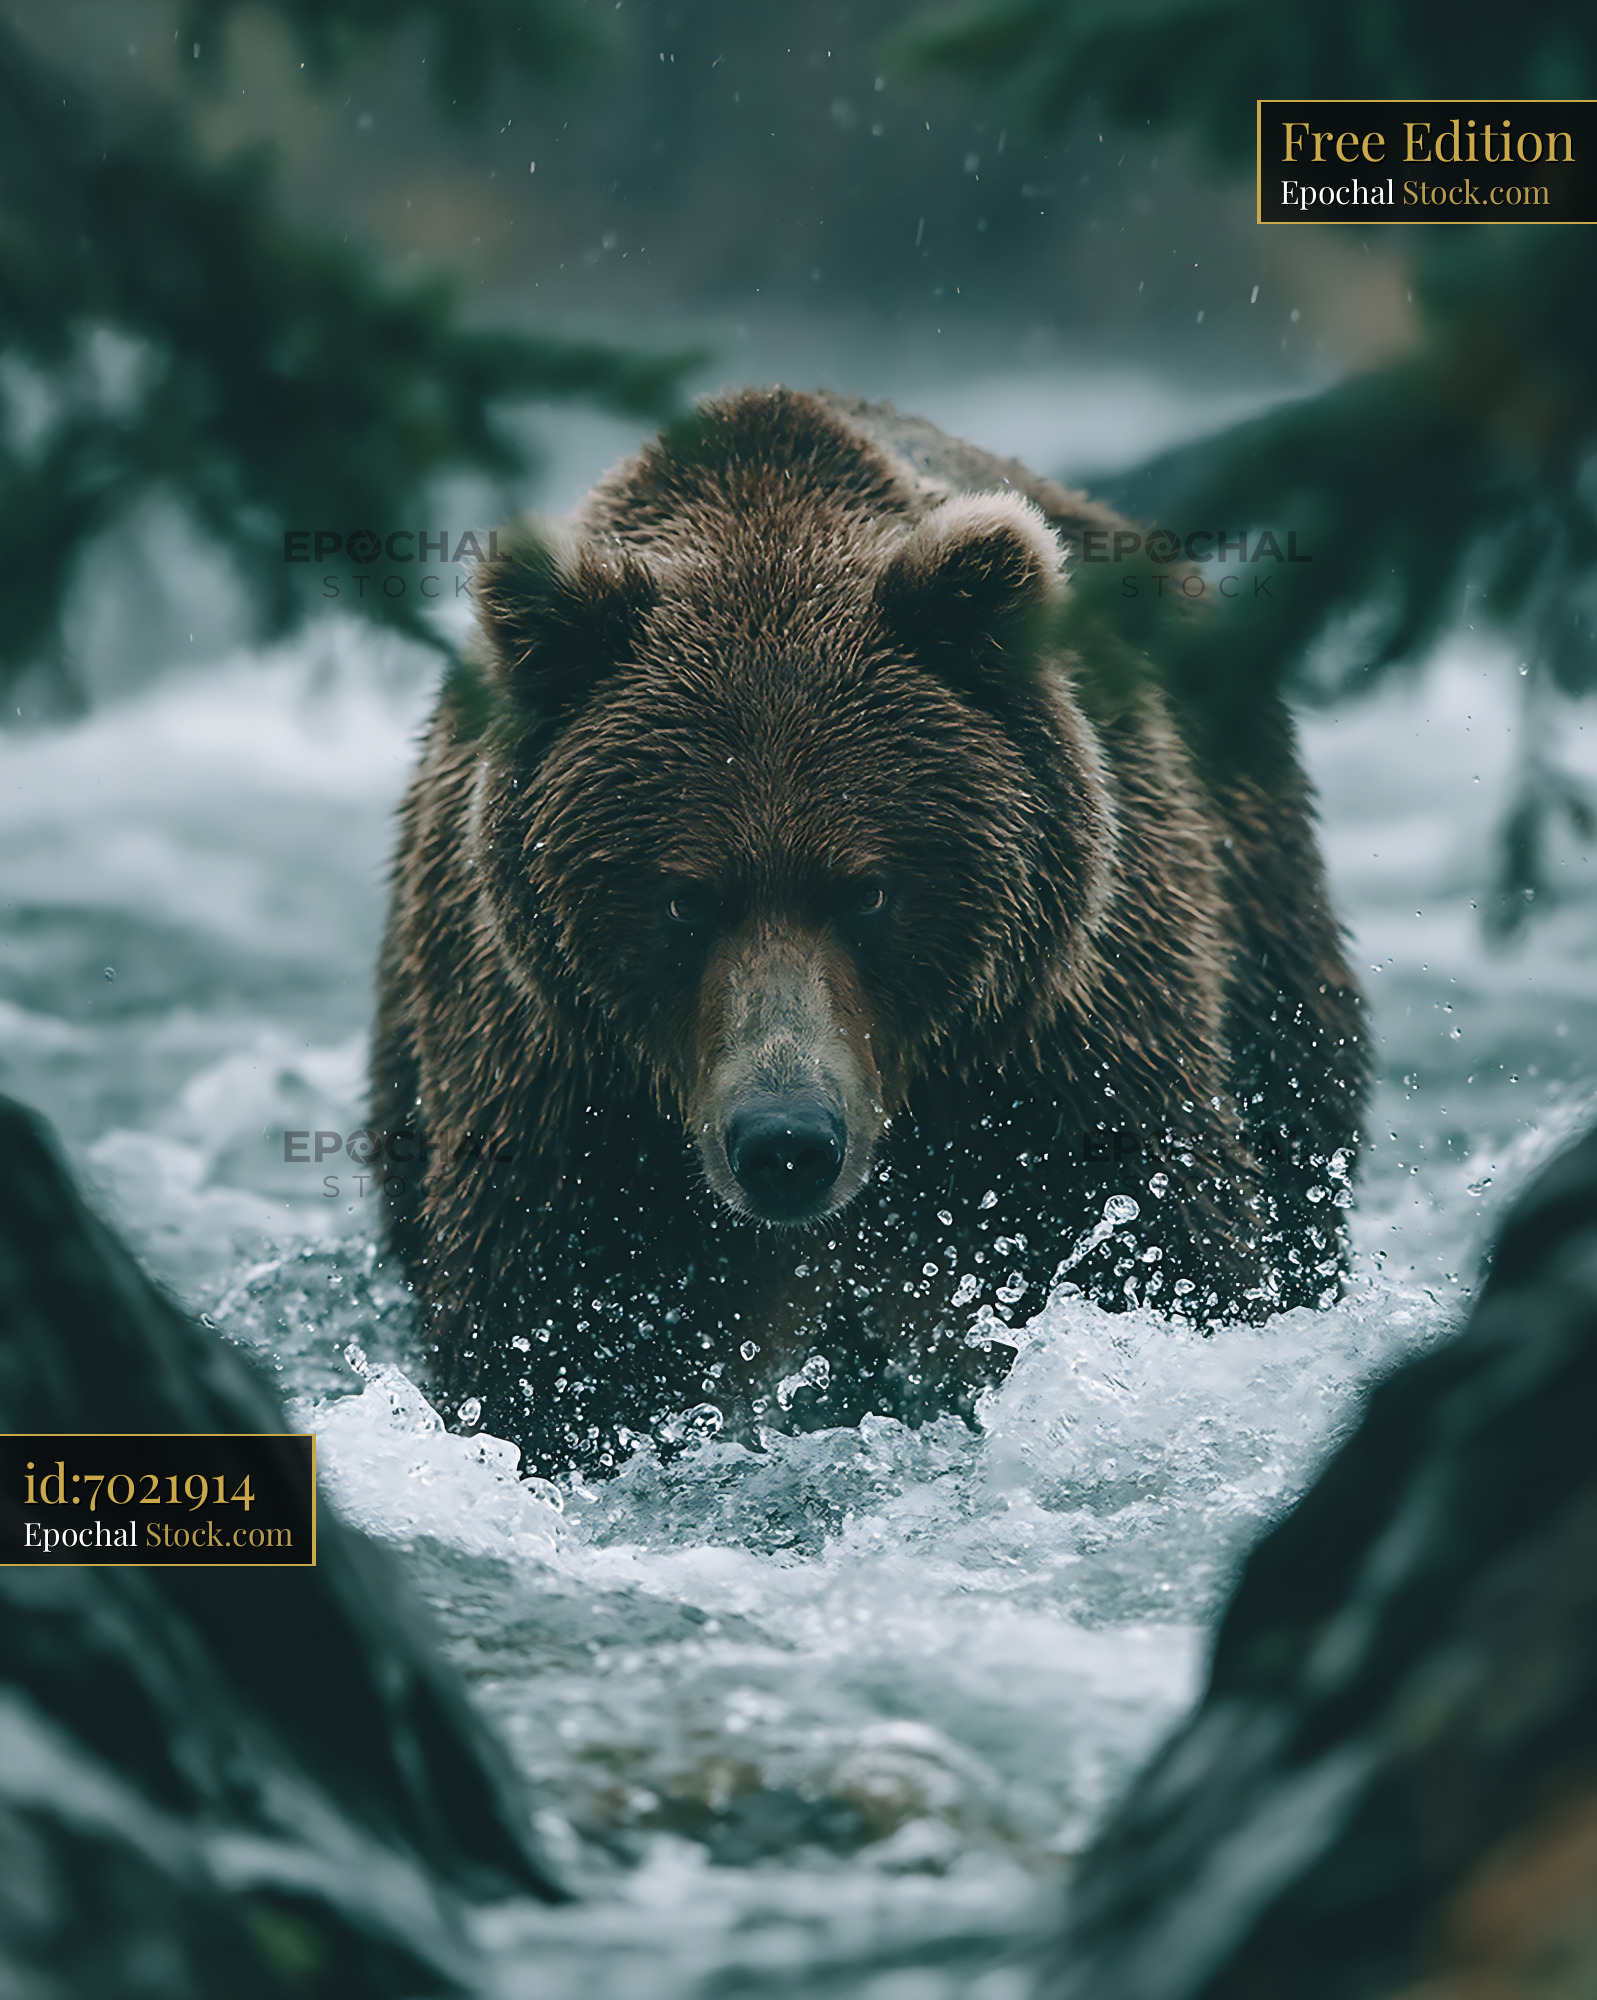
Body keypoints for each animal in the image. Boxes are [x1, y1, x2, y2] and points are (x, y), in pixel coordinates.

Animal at [370, 386, 1367, 1477]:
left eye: (866, 891)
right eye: (685, 898)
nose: (785, 1140)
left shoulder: (1053, 1057)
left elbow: (1153, 1249)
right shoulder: (572, 1102)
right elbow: (554, 1352)